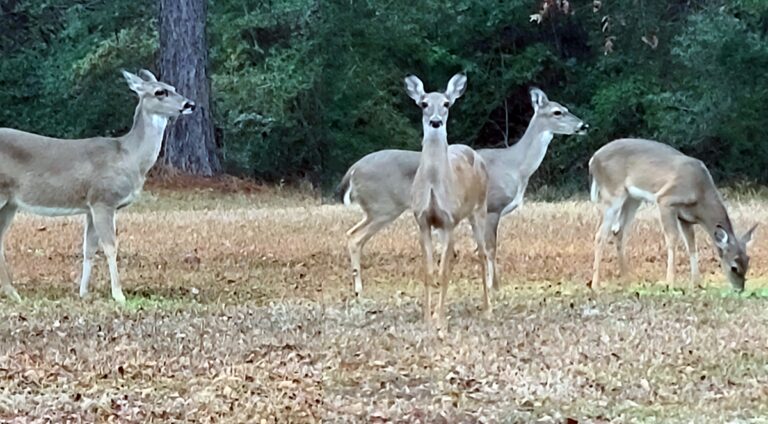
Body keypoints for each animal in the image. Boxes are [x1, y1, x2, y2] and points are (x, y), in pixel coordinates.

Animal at [0, 69, 195, 304]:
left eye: (174, 87)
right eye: (160, 91)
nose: (190, 104)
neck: (128, 157)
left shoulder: (90, 206)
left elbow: (89, 248)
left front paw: (83, 292)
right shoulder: (103, 199)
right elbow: (110, 247)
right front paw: (119, 294)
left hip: (10, 203)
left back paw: (13, 293)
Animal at [338, 88, 588, 296]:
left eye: (565, 108)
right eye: (557, 112)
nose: (583, 125)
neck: (516, 166)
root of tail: (352, 171)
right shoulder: (493, 207)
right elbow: (491, 248)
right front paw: (495, 286)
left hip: (377, 208)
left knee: (352, 234)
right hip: (383, 206)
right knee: (355, 237)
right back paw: (359, 289)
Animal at [404, 73, 494, 326]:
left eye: (446, 104)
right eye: (424, 104)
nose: (435, 122)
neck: (435, 186)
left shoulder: (449, 220)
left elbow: (443, 271)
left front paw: (440, 318)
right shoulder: (423, 221)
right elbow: (429, 271)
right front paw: (428, 316)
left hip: (479, 209)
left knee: (482, 254)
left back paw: (488, 309)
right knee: (454, 257)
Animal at [589, 138, 757, 291]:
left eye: (748, 261)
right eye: (734, 266)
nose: (739, 289)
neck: (700, 193)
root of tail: (593, 160)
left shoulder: (685, 218)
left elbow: (691, 245)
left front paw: (696, 283)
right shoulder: (665, 200)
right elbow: (672, 238)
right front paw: (670, 283)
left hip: (632, 199)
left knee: (619, 232)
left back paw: (627, 281)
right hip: (612, 193)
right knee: (599, 235)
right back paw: (595, 285)